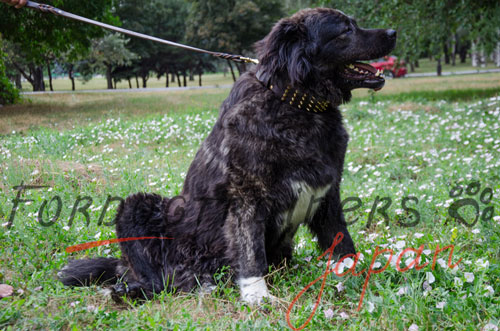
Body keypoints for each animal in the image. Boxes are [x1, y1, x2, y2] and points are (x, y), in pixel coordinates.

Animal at [59, 7, 394, 308]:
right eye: (345, 29)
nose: (393, 32)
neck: (296, 104)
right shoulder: (246, 197)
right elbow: (250, 252)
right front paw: (258, 295)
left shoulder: (327, 194)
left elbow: (342, 241)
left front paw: (356, 275)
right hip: (136, 207)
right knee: (157, 280)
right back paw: (133, 290)